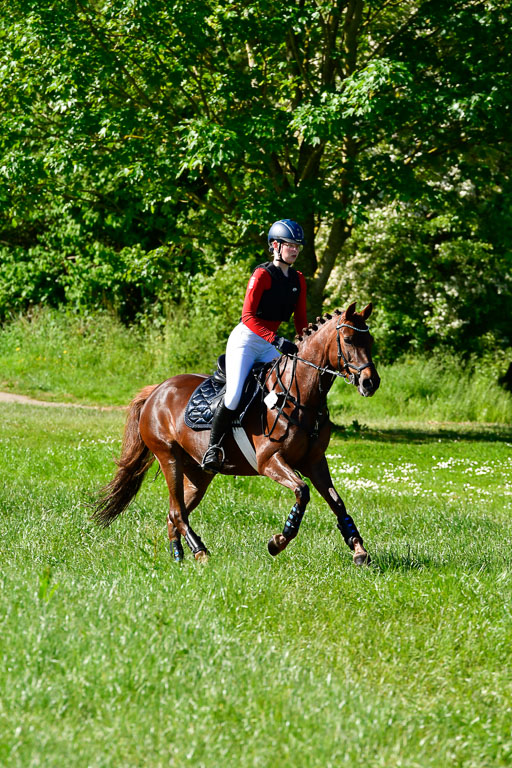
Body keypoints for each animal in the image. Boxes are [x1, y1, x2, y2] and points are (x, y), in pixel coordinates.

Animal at [92, 300, 380, 564]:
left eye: (370, 340)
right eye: (348, 339)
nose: (371, 383)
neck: (298, 397)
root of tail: (156, 390)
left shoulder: (315, 462)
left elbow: (337, 502)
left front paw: (358, 549)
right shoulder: (270, 461)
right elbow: (302, 491)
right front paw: (278, 541)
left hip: (198, 473)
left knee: (175, 511)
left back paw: (178, 555)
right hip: (168, 457)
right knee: (177, 512)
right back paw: (200, 552)